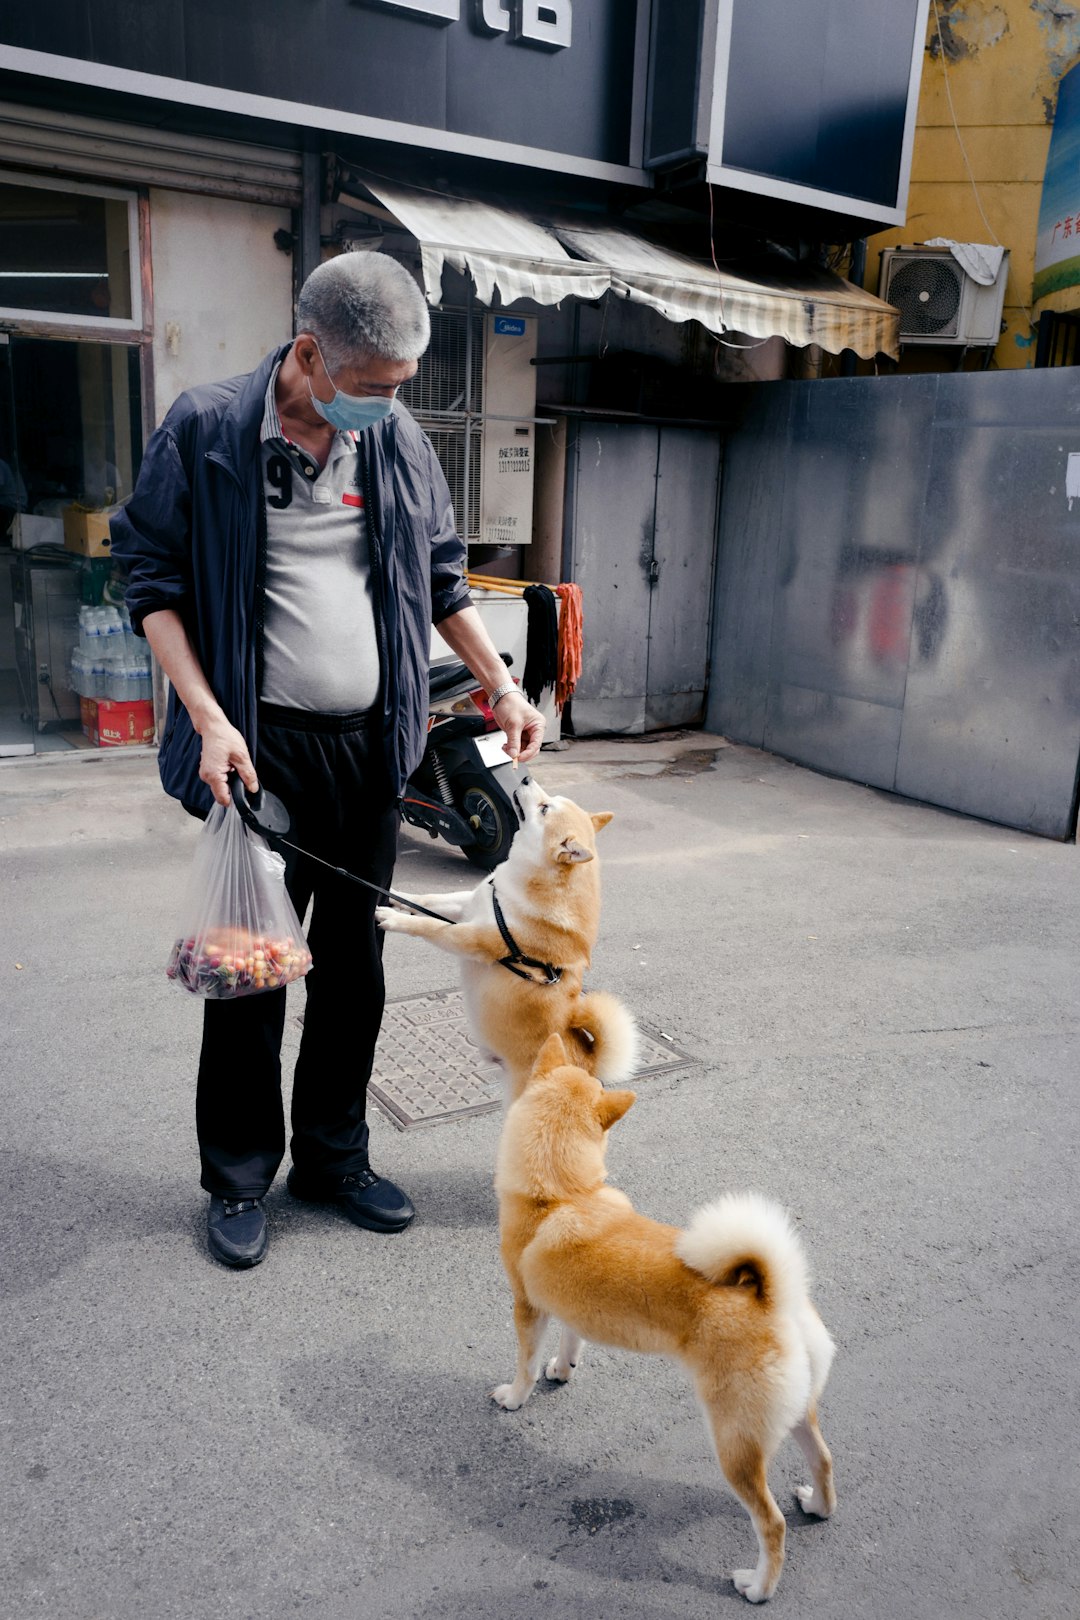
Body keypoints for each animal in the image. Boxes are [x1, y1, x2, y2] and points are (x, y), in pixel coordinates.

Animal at [375, 777, 637, 1108]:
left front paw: (394, 919)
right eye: (549, 799)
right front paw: (397, 894)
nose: (525, 778)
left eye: (544, 807)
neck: (516, 886)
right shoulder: (468, 906)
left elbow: (430, 925)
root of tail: (589, 1067)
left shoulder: (471, 938)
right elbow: (429, 900)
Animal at [488, 1036, 835, 1607]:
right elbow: (570, 1338)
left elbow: (524, 1363)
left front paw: (517, 1396)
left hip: (734, 1443)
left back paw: (758, 1585)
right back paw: (819, 1506)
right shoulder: (568, 1305)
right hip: (794, 1414)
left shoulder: (526, 1305)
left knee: (771, 1524)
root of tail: (772, 1299)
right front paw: (563, 1368)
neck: (559, 1194)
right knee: (824, 1461)